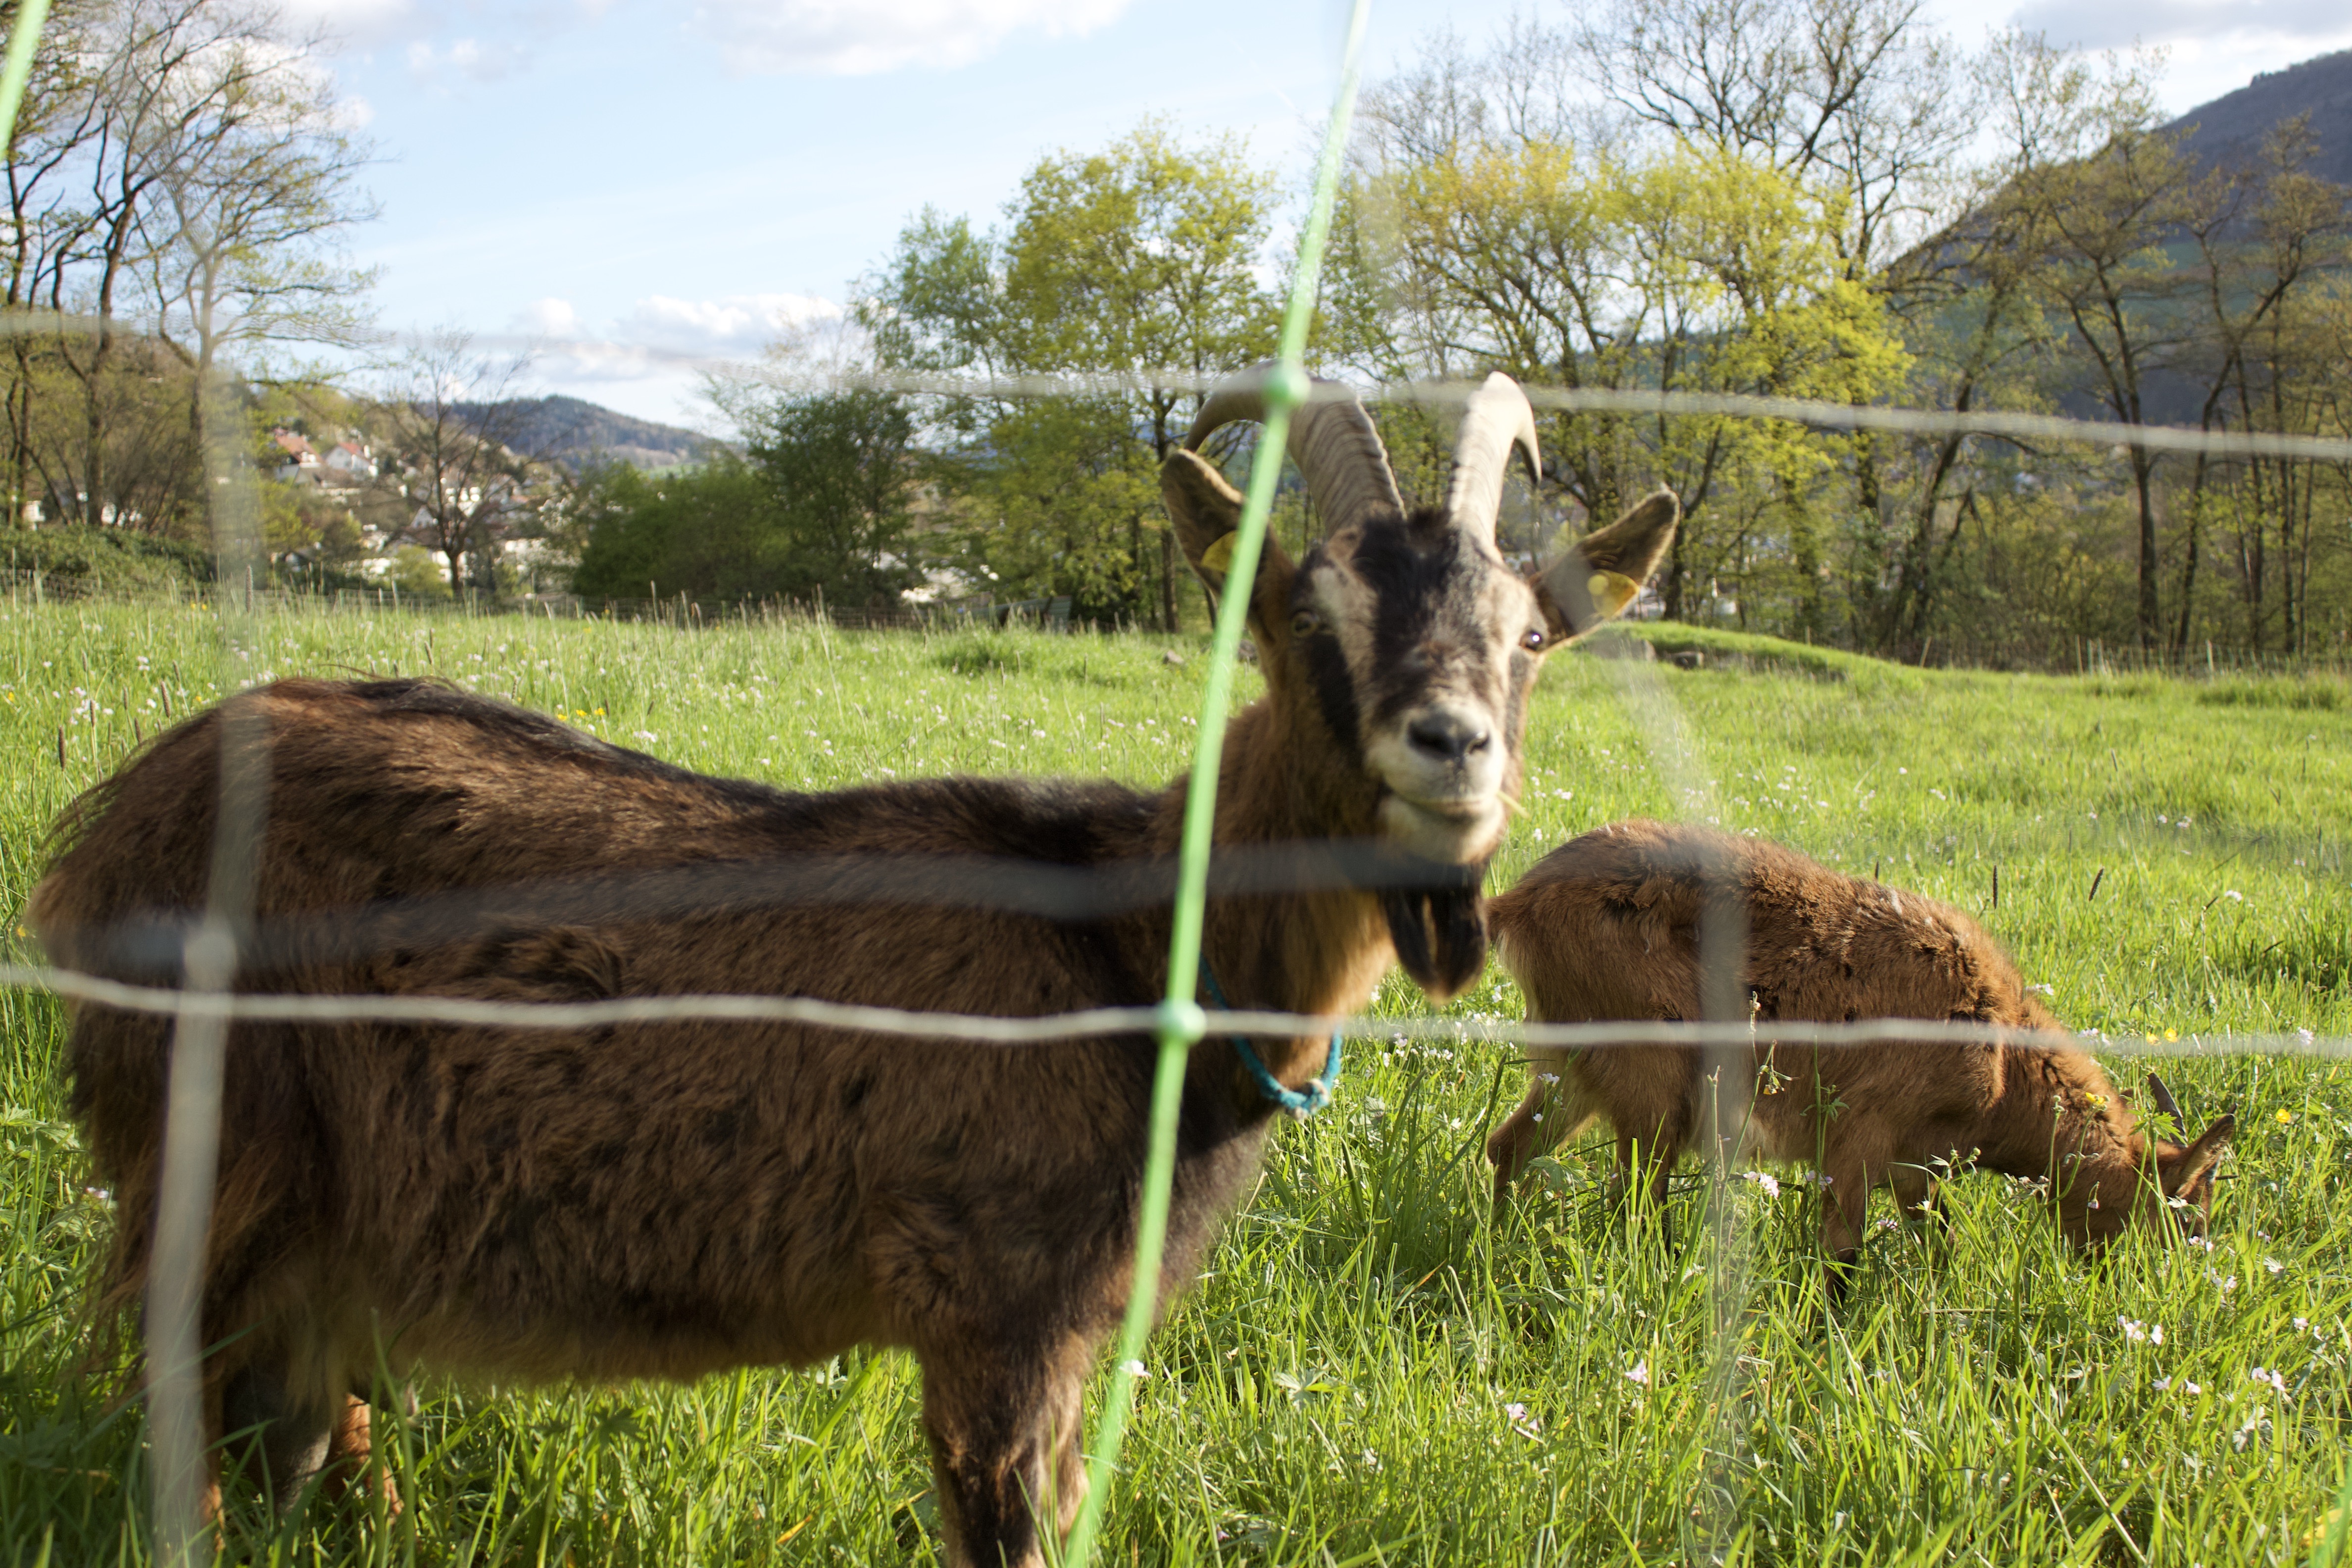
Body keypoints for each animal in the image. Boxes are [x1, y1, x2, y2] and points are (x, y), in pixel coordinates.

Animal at [31, 372, 1676, 1567]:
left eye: (1531, 634)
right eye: (1297, 616)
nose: (1450, 748)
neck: (1133, 942)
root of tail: (110, 821)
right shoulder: (991, 1305)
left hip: (321, 1229)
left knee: (298, 1421)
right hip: (216, 1156)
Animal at [1484, 819, 2233, 1291]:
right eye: (2185, 1217)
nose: (2149, 1290)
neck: (2003, 1062)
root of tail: (1513, 903)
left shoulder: (1916, 1170)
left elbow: (1940, 1248)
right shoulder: (1857, 1139)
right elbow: (1842, 1259)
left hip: (1579, 1072)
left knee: (1509, 1146)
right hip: (1653, 1081)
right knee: (1635, 1197)